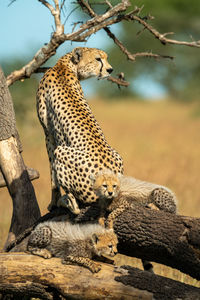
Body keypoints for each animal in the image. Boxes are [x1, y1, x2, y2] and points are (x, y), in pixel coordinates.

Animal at [36, 47, 122, 213]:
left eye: (106, 58)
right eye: (98, 59)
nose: (110, 70)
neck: (64, 65)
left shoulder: (48, 134)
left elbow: (52, 174)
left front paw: (53, 202)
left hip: (61, 151)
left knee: (77, 205)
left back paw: (65, 201)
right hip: (117, 155)